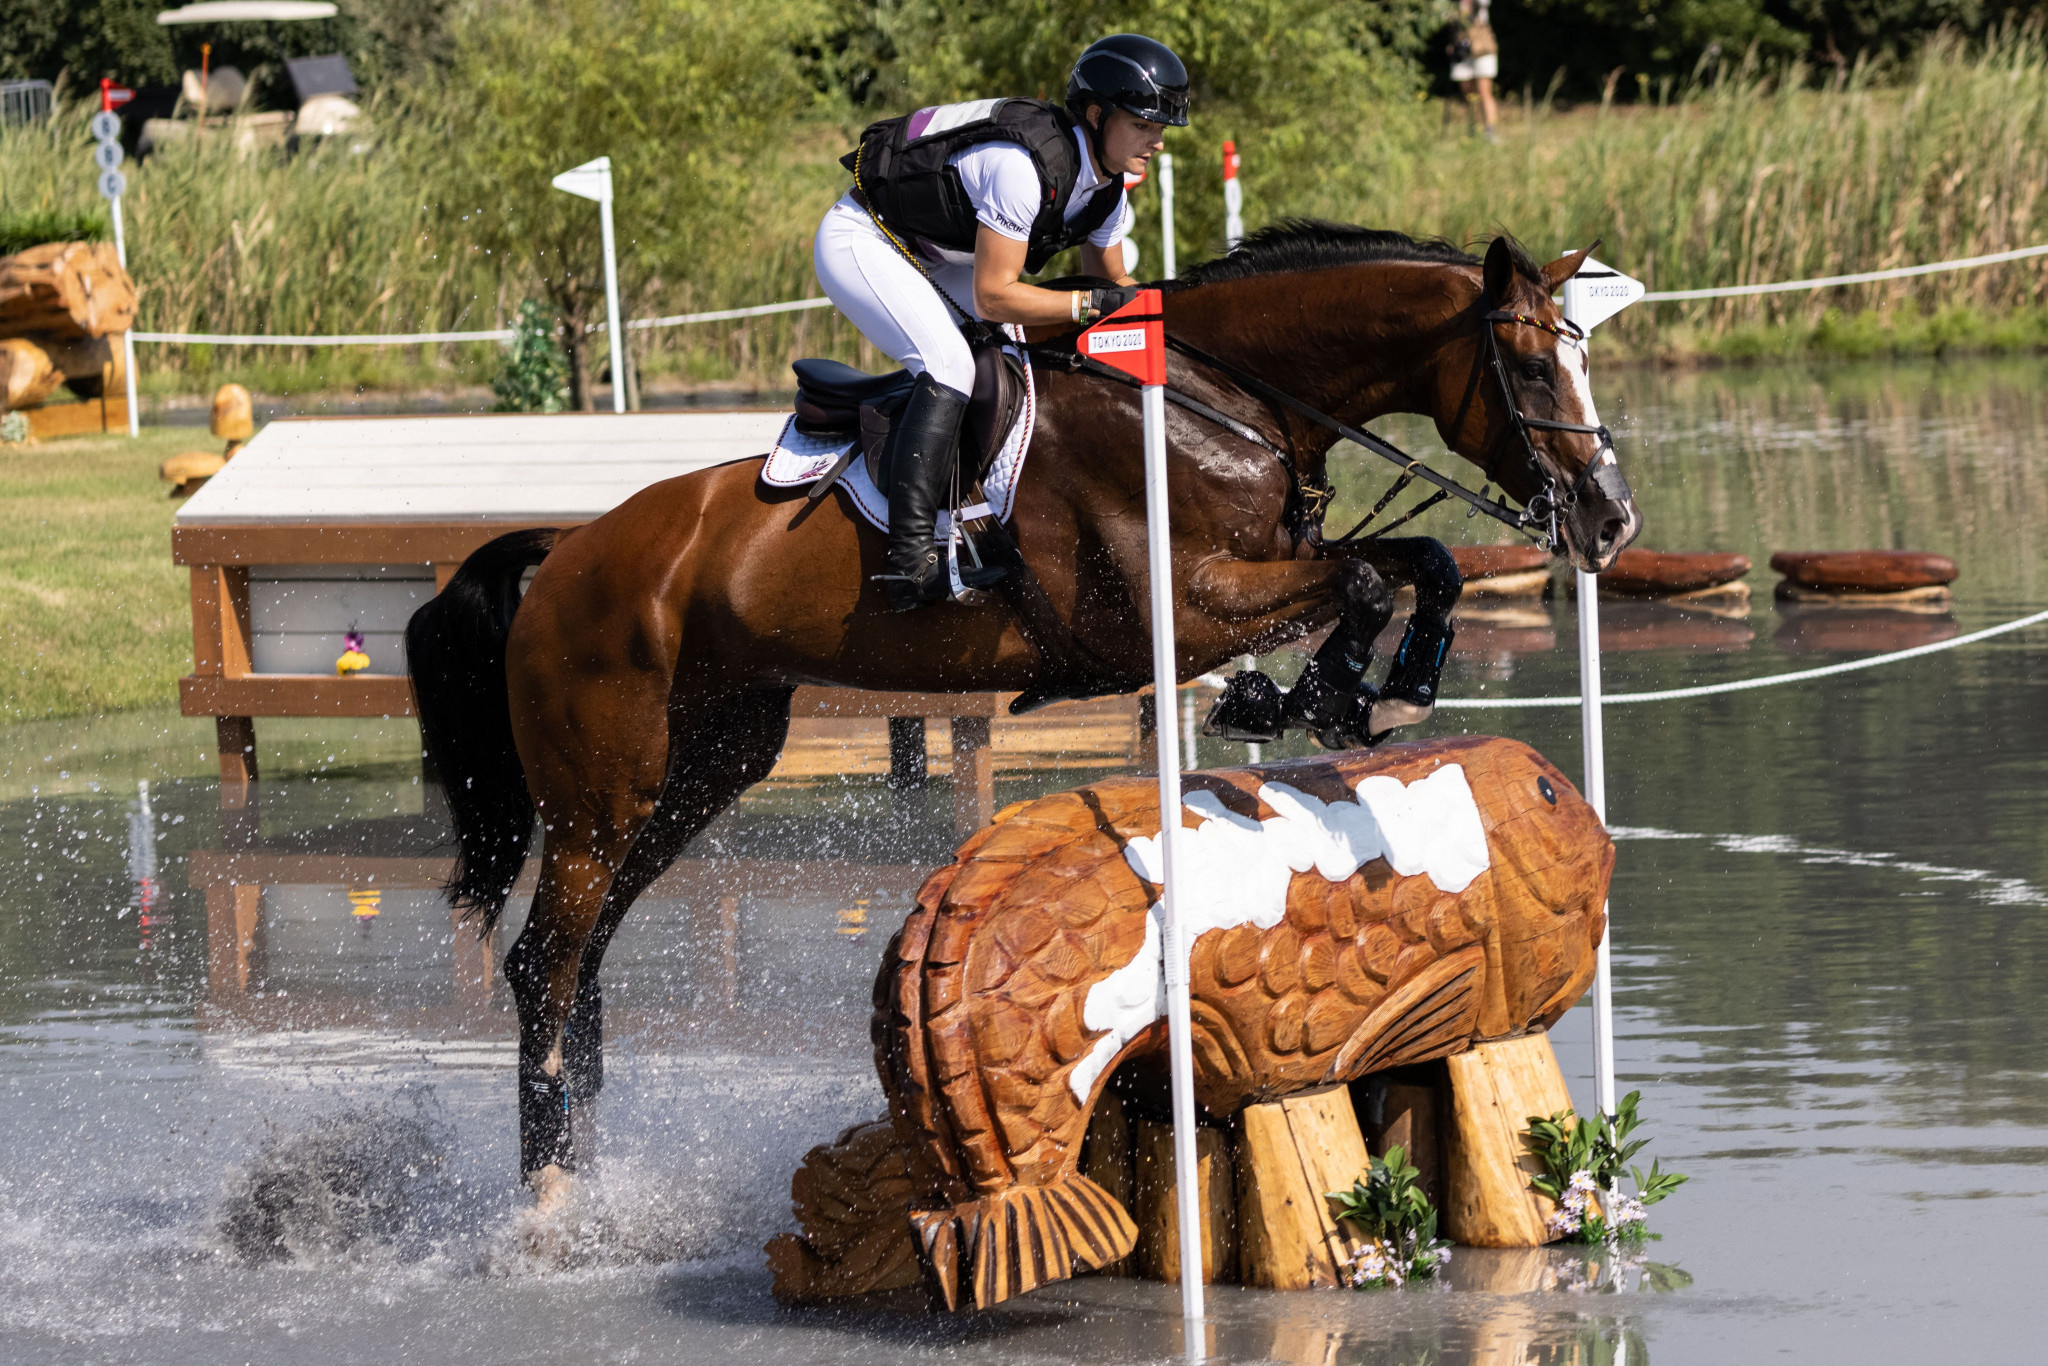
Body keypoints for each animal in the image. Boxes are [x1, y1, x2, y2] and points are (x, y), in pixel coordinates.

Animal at [403, 222, 1646, 1196]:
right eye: (1530, 369)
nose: (1610, 520)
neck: (1222, 403)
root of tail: (566, 551)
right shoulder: (1182, 606)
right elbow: (1363, 581)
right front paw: (1321, 693)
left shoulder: (1255, 574)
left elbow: (1416, 561)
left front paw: (1371, 689)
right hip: (599, 796)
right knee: (545, 967)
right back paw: (546, 1201)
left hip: (702, 768)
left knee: (579, 967)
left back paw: (576, 1167)